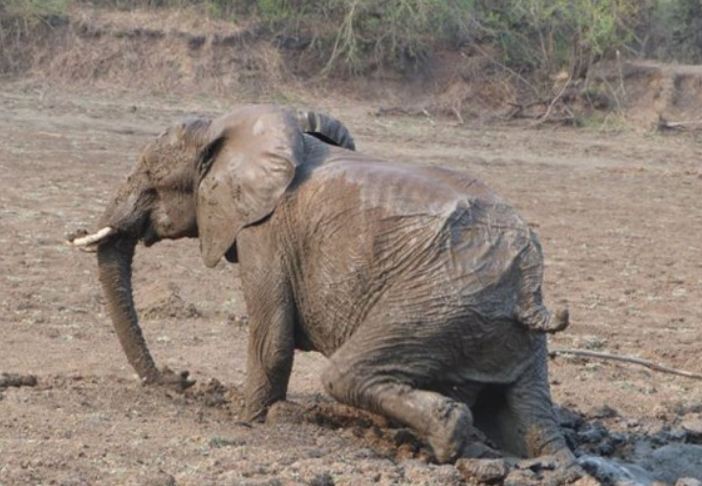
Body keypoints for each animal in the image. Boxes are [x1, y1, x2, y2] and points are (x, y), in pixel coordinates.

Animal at [70, 103, 576, 470]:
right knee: (529, 415)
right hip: (504, 332)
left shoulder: (264, 231)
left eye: (149, 176)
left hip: (440, 302)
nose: (179, 378)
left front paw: (248, 421)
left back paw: (449, 439)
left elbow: (271, 340)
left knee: (344, 375)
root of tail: (528, 292)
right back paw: (550, 464)